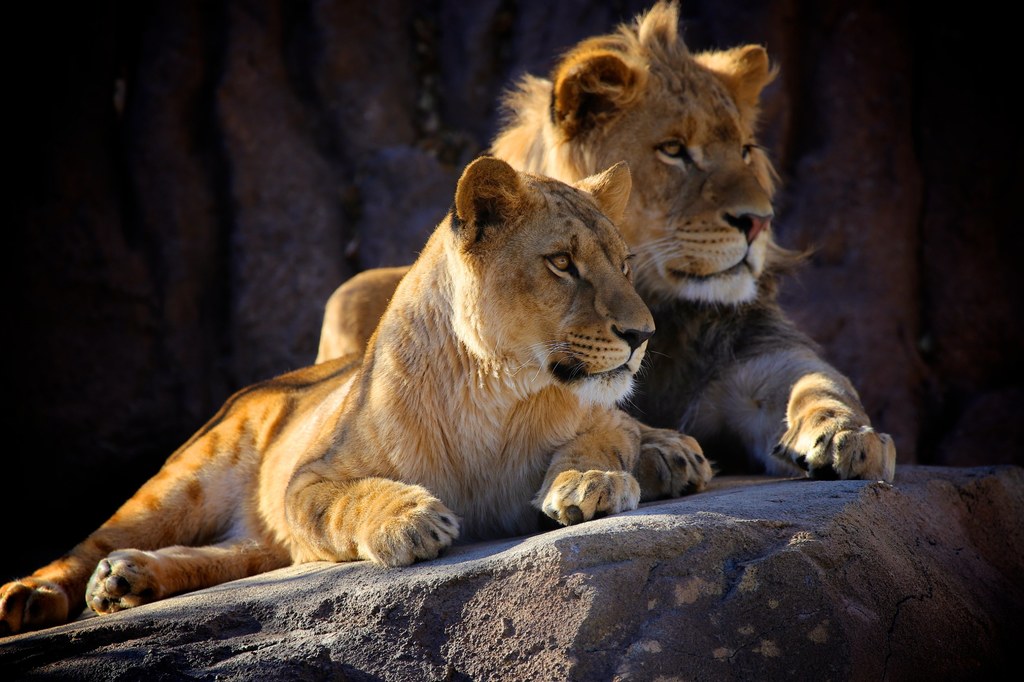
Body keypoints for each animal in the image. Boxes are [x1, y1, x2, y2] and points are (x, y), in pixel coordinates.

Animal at [2, 157, 712, 630]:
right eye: (562, 263)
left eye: (623, 264)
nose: (642, 334)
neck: (499, 388)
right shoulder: (308, 478)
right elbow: (345, 501)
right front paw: (408, 519)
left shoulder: (602, 420)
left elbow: (603, 439)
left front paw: (590, 483)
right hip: (188, 477)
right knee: (94, 543)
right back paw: (48, 592)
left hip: (251, 530)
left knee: (242, 554)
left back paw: (129, 579)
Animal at [313, 3, 897, 483]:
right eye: (673, 150)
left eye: (746, 150)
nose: (758, 222)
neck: (666, 308)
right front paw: (656, 448)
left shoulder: (757, 360)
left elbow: (821, 383)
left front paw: (848, 435)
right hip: (349, 295)